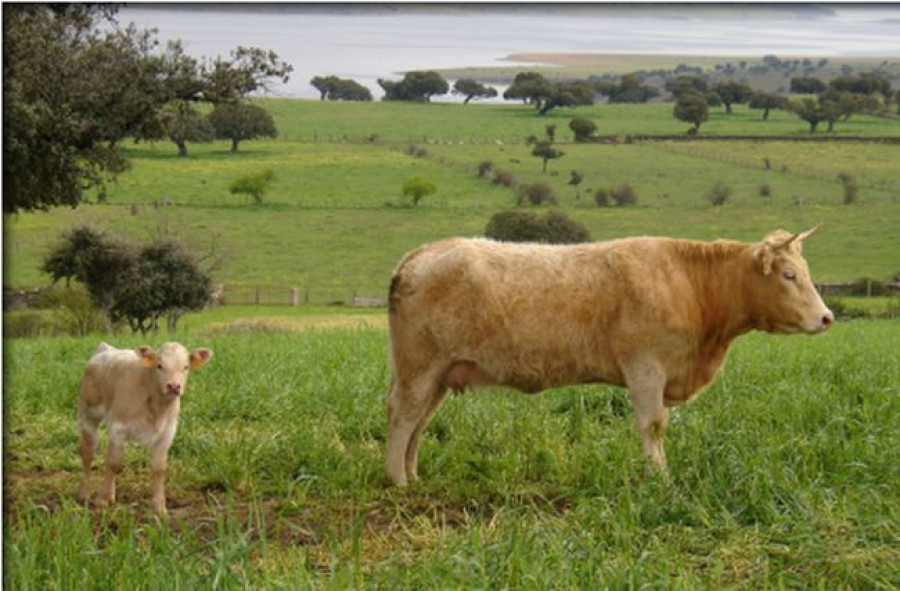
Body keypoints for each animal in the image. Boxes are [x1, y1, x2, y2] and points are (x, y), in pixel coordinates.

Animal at [75, 342, 213, 520]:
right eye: (159, 365)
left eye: (186, 367)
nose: (174, 386)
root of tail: (107, 349)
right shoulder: (118, 427)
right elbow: (113, 463)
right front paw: (102, 500)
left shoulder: (167, 434)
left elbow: (159, 468)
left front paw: (159, 507)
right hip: (88, 414)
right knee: (88, 454)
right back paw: (84, 493)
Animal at [384, 227, 832, 486]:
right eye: (789, 274)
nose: (827, 317)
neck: (693, 288)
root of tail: (422, 253)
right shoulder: (646, 368)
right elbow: (653, 425)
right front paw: (659, 479)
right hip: (419, 367)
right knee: (404, 416)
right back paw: (397, 481)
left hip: (439, 375)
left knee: (419, 423)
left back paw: (413, 475)